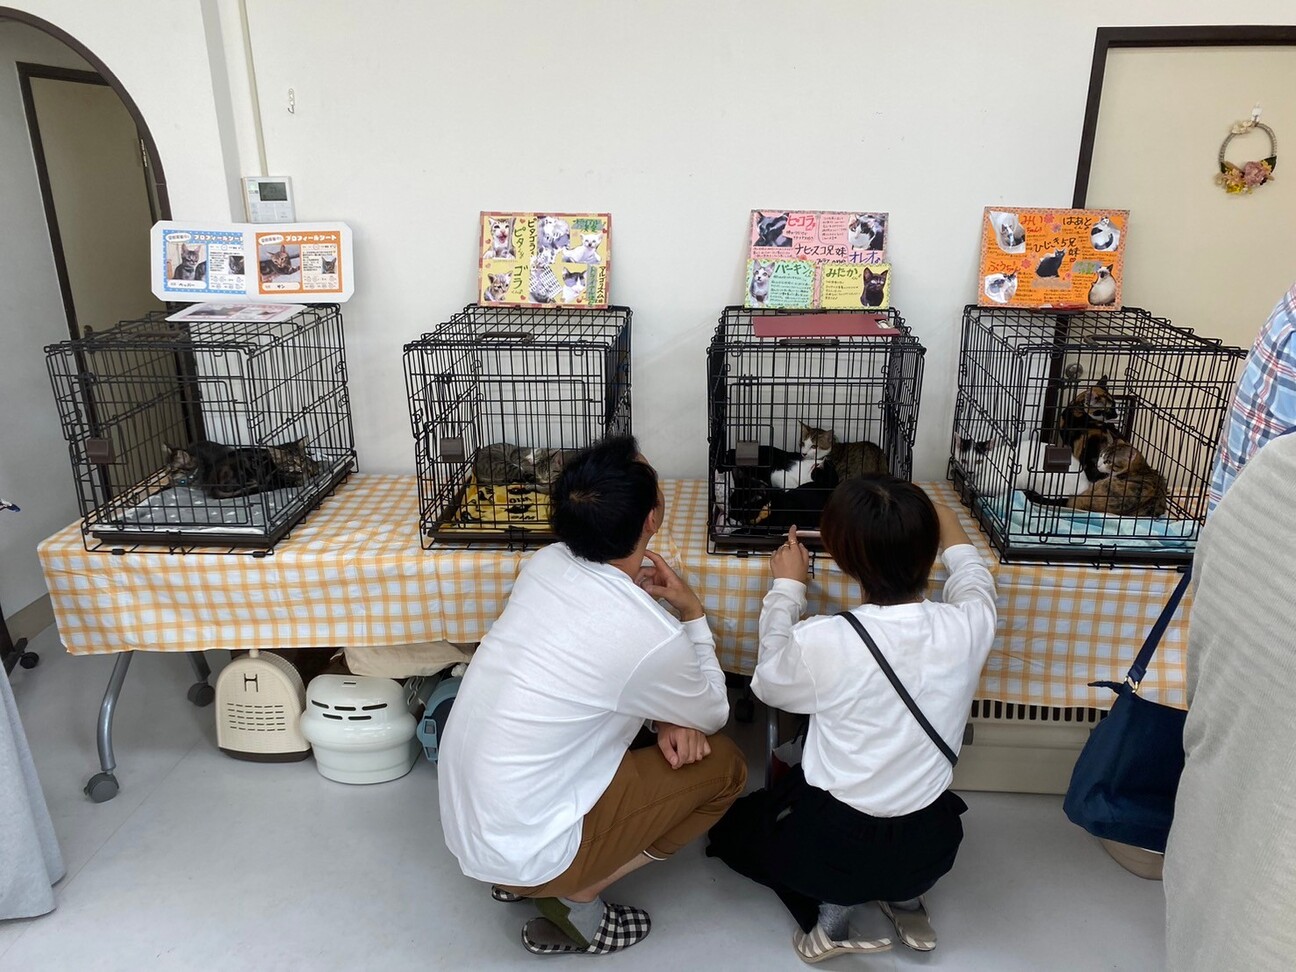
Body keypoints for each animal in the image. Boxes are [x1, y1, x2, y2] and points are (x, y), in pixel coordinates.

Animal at [164, 437, 320, 499]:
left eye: (301, 458)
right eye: (290, 461)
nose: (300, 465)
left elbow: (314, 466)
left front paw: (311, 467)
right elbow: (296, 479)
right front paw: (299, 477)